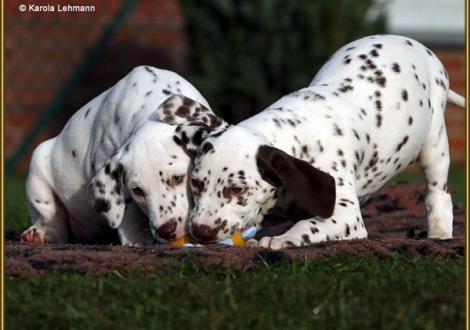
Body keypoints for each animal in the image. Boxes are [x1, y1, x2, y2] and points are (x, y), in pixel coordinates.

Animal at [20, 65, 222, 245]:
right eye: (137, 190)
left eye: (178, 178)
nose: (166, 230)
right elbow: (125, 210)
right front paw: (136, 241)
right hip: (38, 166)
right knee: (51, 219)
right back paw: (41, 233)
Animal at [160, 34, 464, 249]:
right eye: (196, 183)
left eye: (238, 189)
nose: (201, 231)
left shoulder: (345, 214)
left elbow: (309, 225)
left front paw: (281, 240)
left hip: (434, 143)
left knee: (438, 193)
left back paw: (439, 232)